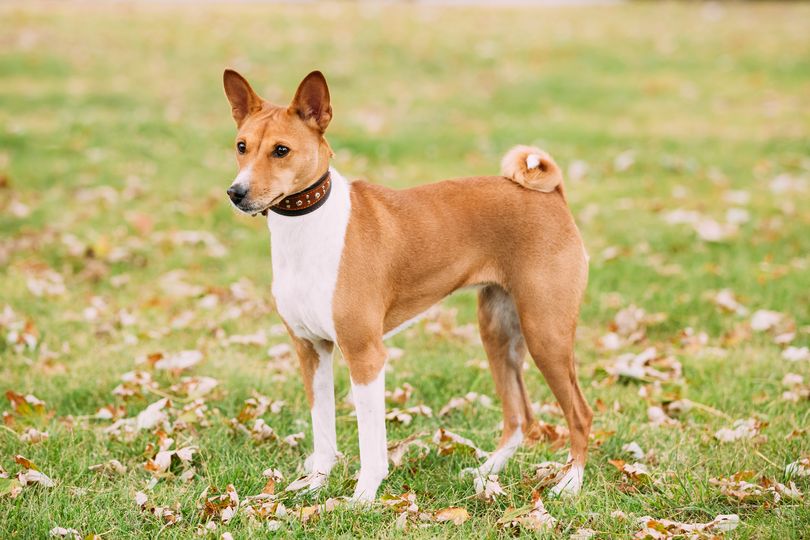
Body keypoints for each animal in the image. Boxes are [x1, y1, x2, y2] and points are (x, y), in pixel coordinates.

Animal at [224, 70, 592, 502]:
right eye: (242, 146)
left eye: (281, 150)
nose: (236, 192)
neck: (308, 230)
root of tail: (553, 195)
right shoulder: (311, 349)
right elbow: (323, 433)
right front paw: (314, 487)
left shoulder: (365, 354)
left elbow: (371, 442)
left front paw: (362, 497)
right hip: (498, 332)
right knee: (520, 417)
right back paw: (488, 472)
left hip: (545, 333)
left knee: (580, 413)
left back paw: (570, 482)